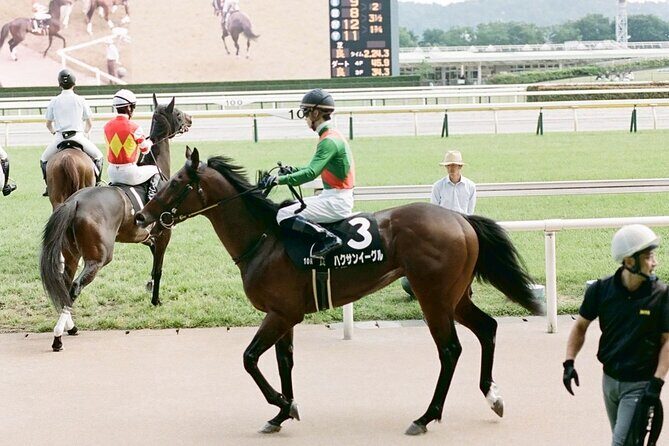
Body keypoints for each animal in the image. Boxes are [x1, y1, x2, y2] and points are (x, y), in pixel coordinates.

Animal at [40, 95, 192, 352]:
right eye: (178, 113)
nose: (190, 119)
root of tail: (76, 201)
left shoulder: (147, 238)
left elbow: (153, 264)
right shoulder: (164, 235)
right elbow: (158, 269)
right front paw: (156, 300)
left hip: (71, 253)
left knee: (65, 282)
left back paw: (70, 327)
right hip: (98, 257)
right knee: (74, 287)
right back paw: (58, 336)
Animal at [134, 147, 546, 436]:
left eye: (175, 183)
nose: (142, 216)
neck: (264, 238)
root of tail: (460, 219)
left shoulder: (281, 314)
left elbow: (250, 359)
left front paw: (281, 404)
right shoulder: (284, 315)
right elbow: (284, 361)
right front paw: (282, 412)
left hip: (433, 297)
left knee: (450, 350)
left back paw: (426, 417)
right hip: (455, 297)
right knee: (488, 328)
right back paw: (492, 396)